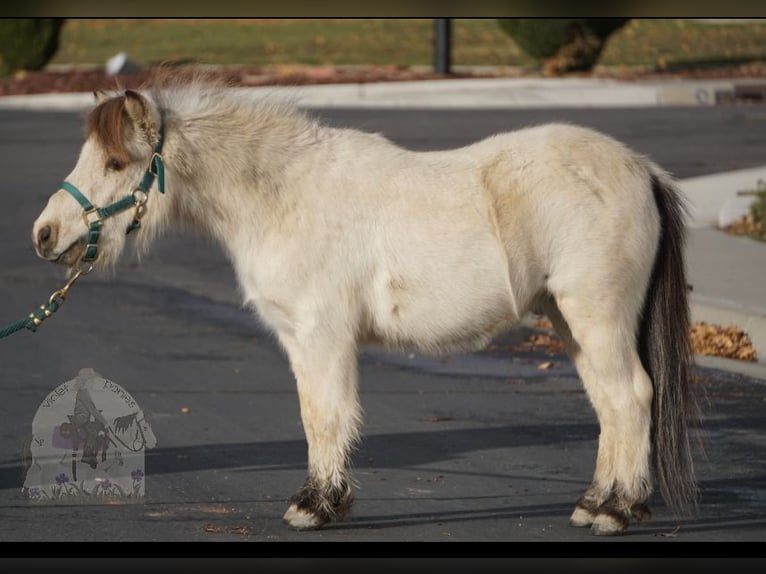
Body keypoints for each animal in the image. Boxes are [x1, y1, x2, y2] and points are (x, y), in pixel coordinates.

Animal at [33, 72, 700, 536]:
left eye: (115, 162)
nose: (45, 234)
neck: (284, 194)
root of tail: (643, 169)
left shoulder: (321, 335)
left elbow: (324, 417)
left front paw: (315, 506)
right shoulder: (303, 341)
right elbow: (318, 416)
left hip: (598, 318)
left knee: (631, 398)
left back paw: (618, 511)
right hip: (571, 321)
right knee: (610, 407)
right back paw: (595, 503)